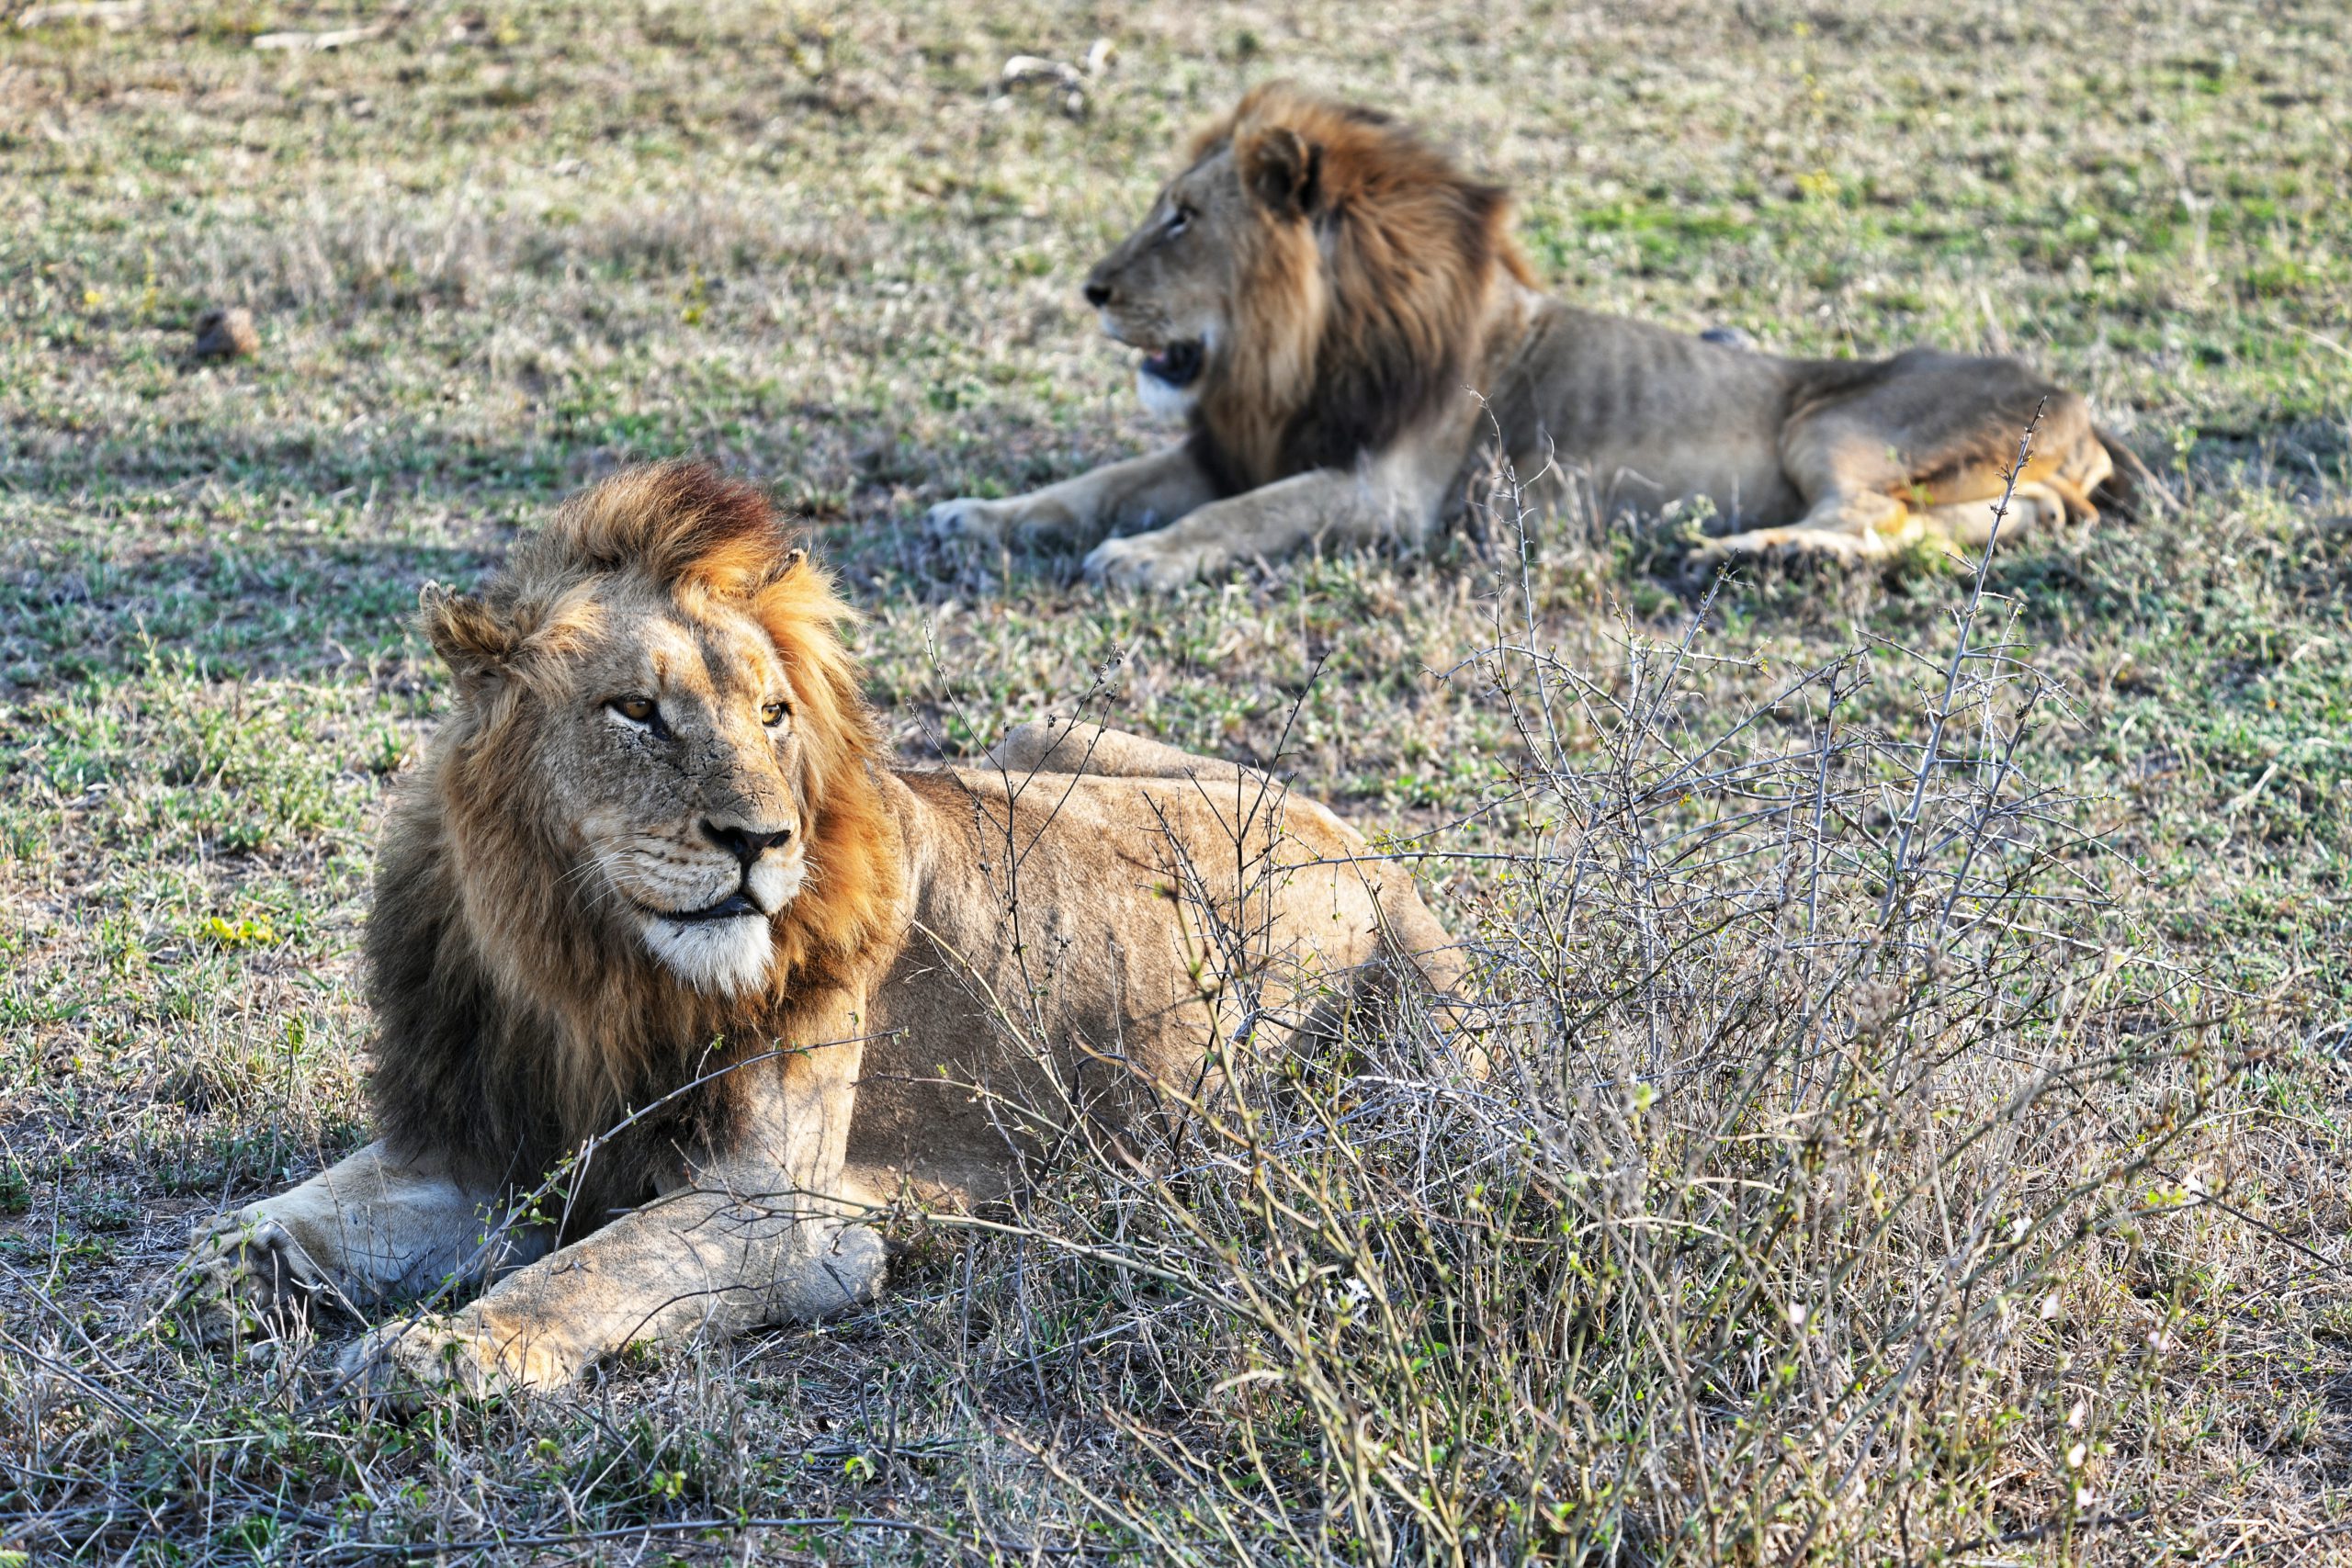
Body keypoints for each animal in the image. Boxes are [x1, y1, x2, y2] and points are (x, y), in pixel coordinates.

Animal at [165, 463, 1458, 1401]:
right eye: (635, 711)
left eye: (774, 714)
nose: (761, 841)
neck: (582, 968)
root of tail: (1359, 841)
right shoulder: (479, 1148)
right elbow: (293, 1211)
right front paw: (224, 1272)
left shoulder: (786, 1218)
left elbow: (585, 1272)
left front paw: (446, 1350)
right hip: (1044, 733)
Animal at [926, 83, 2144, 592]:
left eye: (1182, 217)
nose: (1090, 289)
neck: (1290, 354)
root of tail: (2082, 409)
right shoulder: (1227, 444)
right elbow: (1091, 484)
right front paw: (972, 515)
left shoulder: (1379, 488)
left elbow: (1240, 516)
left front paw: (1141, 559)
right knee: (1972, 525)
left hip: (1835, 423)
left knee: (1864, 518)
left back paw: (1750, 555)